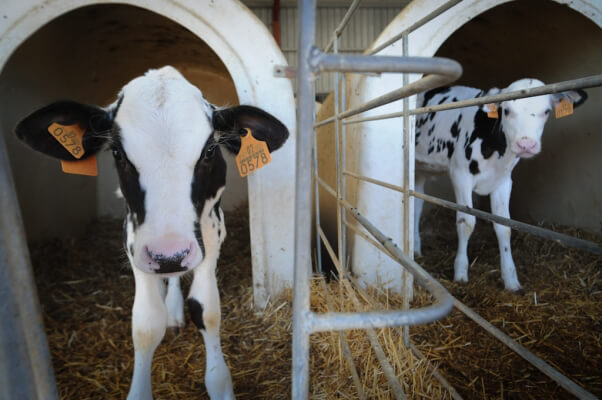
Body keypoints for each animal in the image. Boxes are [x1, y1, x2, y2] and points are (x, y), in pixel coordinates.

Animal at [14, 66, 286, 400]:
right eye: (117, 152)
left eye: (209, 150)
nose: (169, 254)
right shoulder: (135, 243)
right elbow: (146, 325)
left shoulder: (211, 235)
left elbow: (206, 310)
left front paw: (219, 383)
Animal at [412, 78, 584, 290]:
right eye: (507, 110)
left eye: (546, 111)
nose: (526, 145)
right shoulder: (460, 175)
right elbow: (466, 223)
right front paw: (460, 273)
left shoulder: (503, 181)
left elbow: (504, 227)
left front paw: (511, 280)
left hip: (420, 170)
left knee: (416, 204)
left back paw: (415, 248)